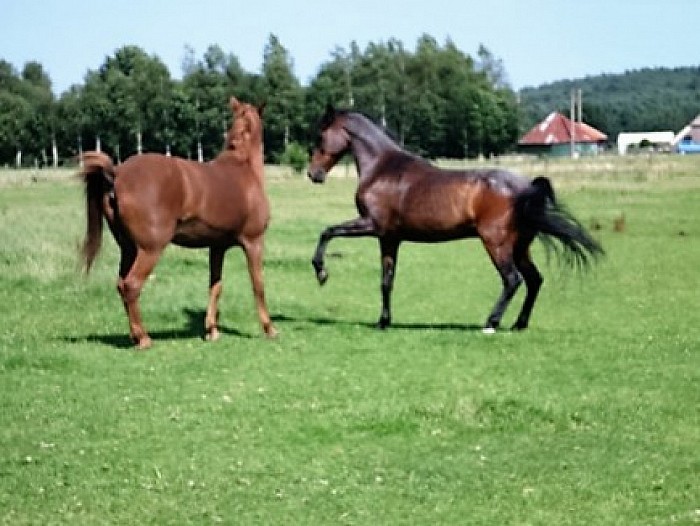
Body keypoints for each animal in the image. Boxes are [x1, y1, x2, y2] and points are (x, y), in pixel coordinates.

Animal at [79, 97, 277, 349]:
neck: (243, 168)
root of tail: (116, 174)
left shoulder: (217, 247)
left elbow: (215, 286)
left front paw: (211, 330)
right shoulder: (254, 242)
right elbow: (258, 285)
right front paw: (269, 328)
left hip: (128, 248)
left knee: (121, 284)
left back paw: (135, 335)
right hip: (150, 249)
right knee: (131, 285)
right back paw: (144, 338)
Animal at [307, 105, 603, 333]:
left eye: (320, 136)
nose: (313, 174)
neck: (383, 169)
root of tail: (526, 187)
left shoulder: (372, 225)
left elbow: (327, 231)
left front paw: (321, 273)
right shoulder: (389, 239)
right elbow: (386, 281)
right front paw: (383, 322)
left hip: (496, 244)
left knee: (512, 279)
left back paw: (491, 323)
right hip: (520, 247)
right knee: (534, 280)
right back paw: (519, 324)